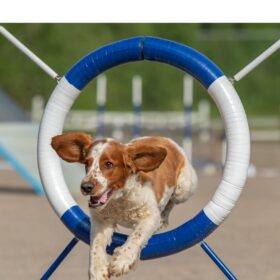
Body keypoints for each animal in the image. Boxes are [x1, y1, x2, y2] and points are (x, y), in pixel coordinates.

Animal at [52, 133, 197, 280]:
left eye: (108, 164)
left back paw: (163, 219)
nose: (86, 187)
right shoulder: (101, 220)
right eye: (86, 163)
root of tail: (165, 139)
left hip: (184, 188)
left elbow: (137, 235)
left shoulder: (149, 216)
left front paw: (122, 261)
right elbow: (96, 244)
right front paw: (97, 270)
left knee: (171, 202)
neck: (120, 198)